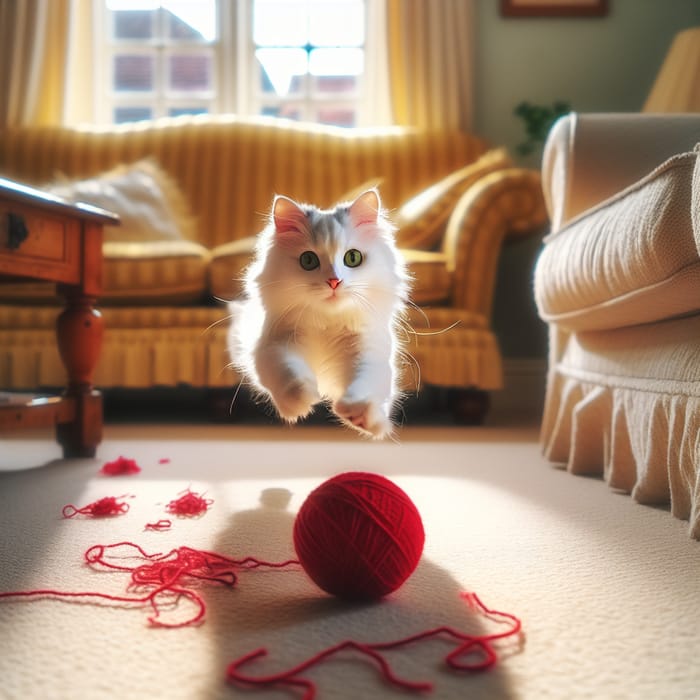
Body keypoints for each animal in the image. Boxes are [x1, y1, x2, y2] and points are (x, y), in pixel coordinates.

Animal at [227, 186, 408, 438]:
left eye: (353, 258)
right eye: (308, 260)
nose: (334, 281)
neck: (327, 323)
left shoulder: (368, 350)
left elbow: (364, 382)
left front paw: (358, 413)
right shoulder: (274, 345)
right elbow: (289, 373)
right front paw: (301, 402)